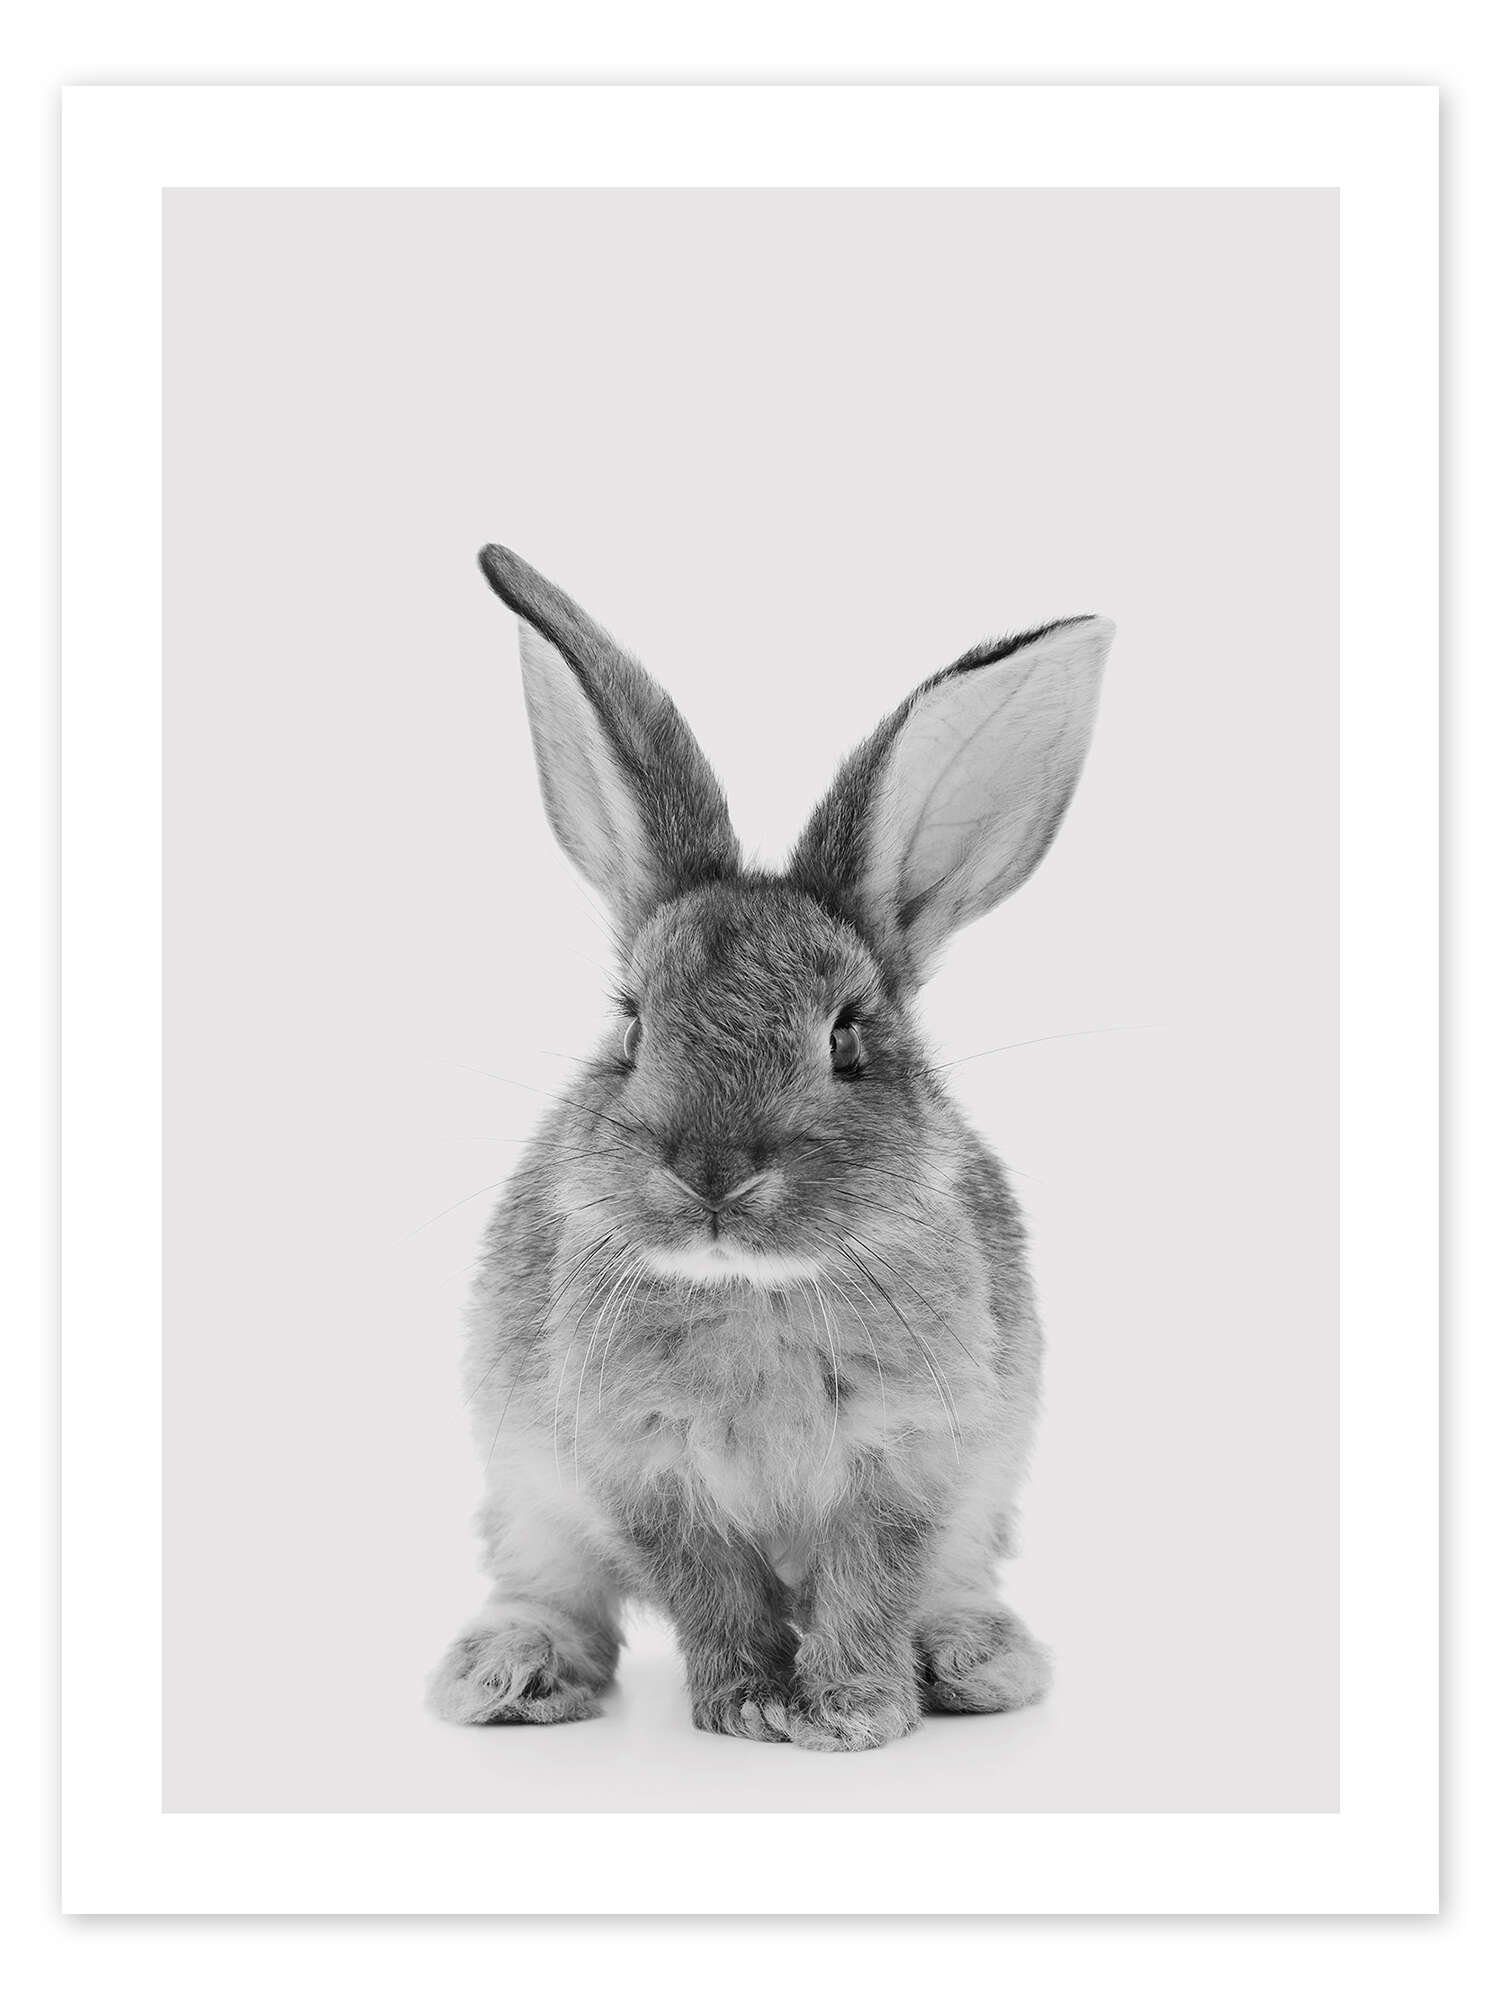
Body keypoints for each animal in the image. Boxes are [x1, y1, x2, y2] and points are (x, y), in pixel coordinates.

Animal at [426, 544, 1114, 1753]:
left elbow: (867, 1586)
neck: (758, 1291)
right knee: (553, 1587)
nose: (711, 1170)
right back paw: (509, 1671)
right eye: (631, 1026)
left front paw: (851, 1714)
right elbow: (710, 1592)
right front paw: (749, 1708)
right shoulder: (643, 1471)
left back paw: (974, 1660)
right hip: (528, 1497)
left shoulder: (913, 1464)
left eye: (847, 1037)